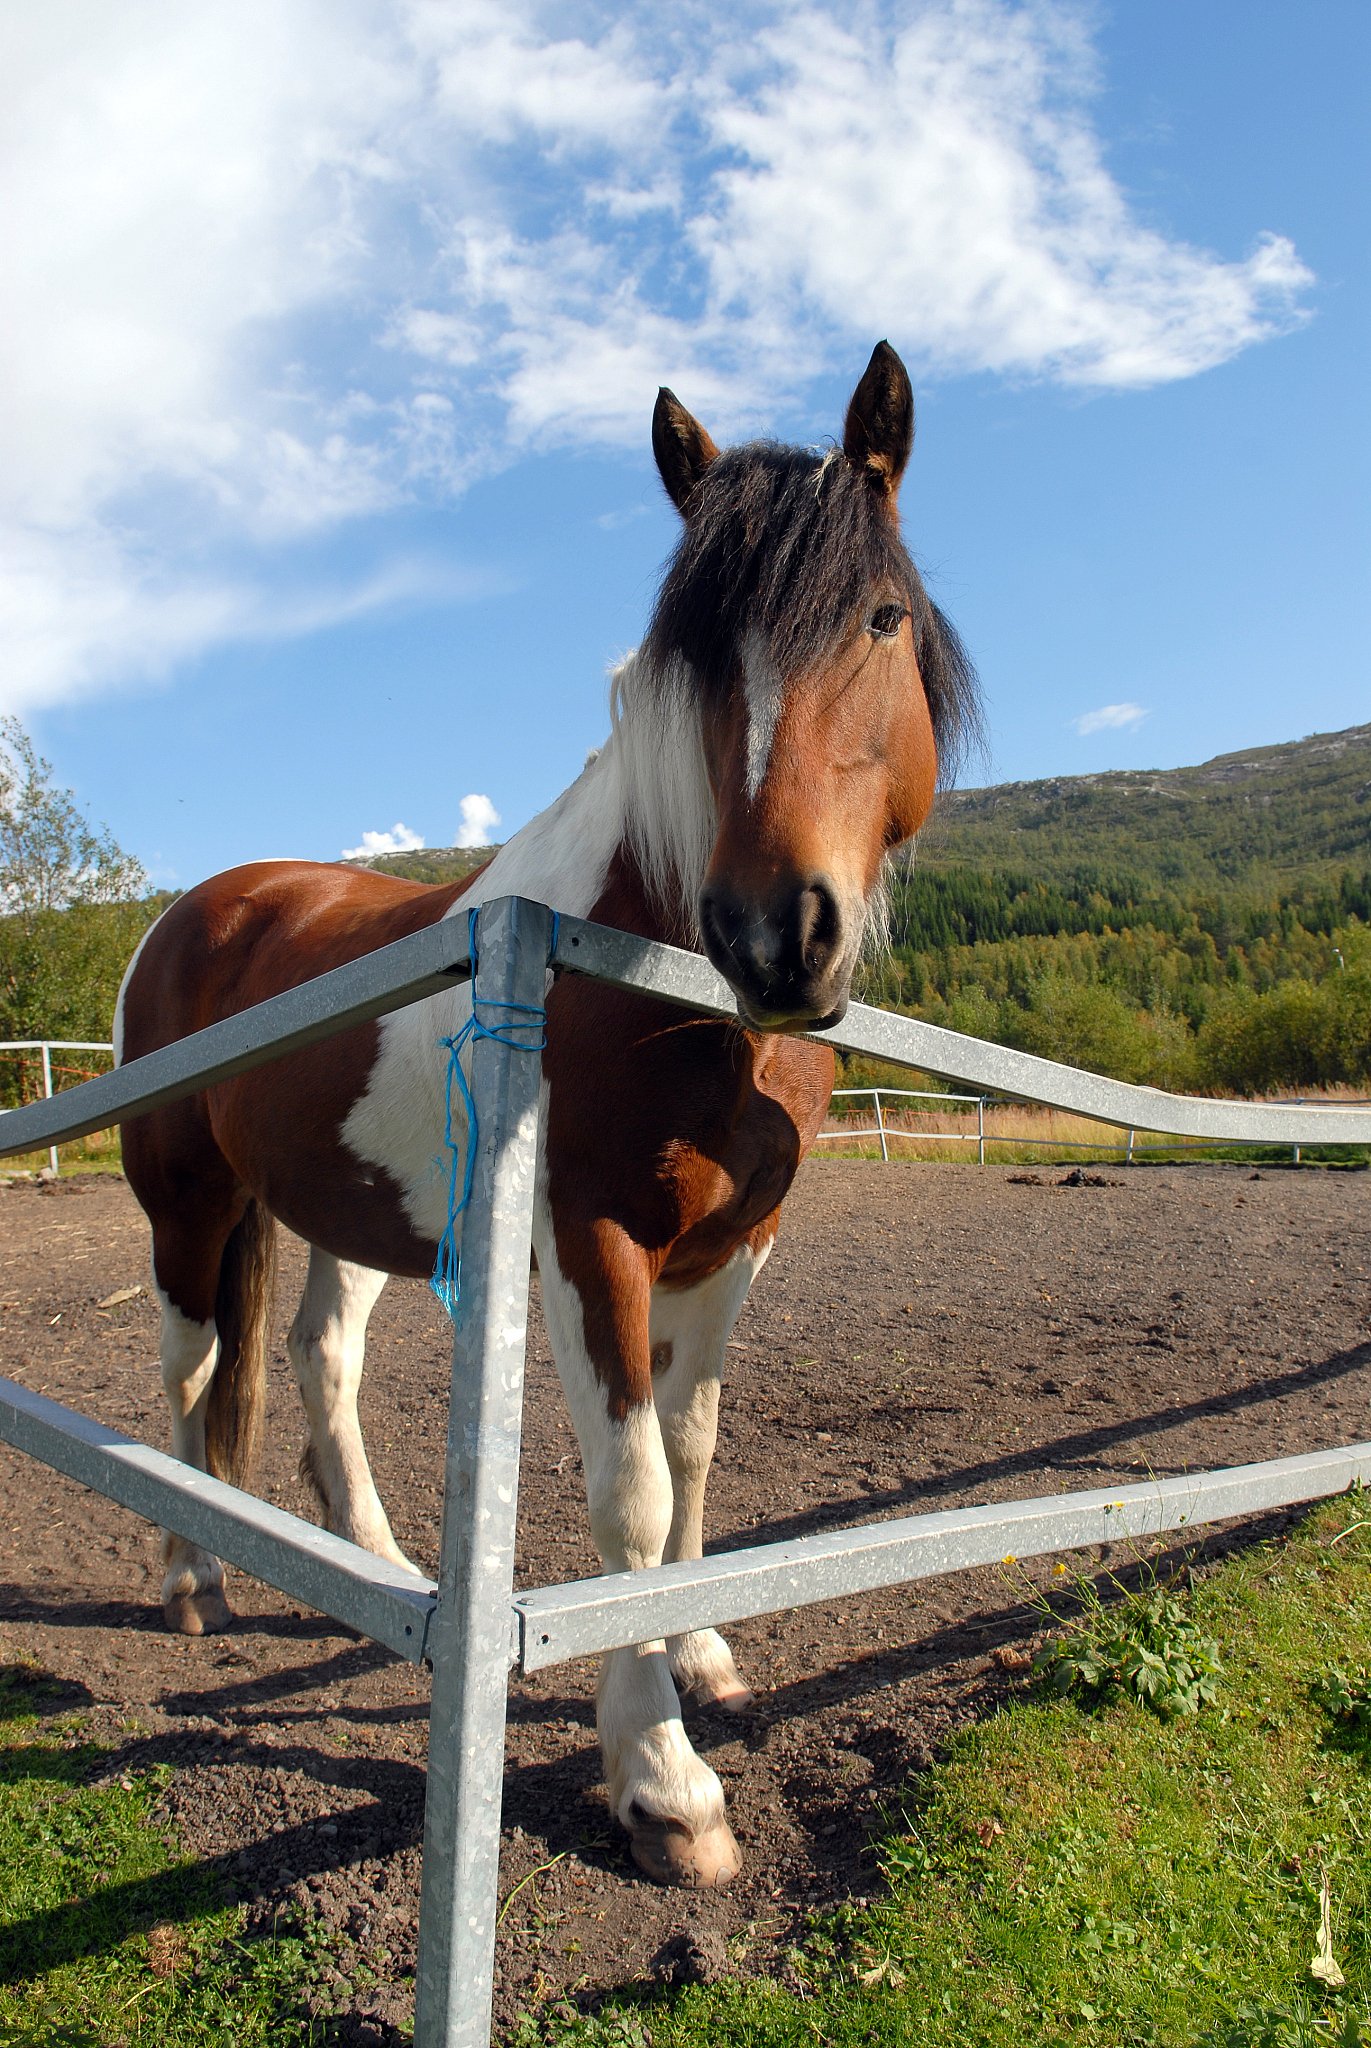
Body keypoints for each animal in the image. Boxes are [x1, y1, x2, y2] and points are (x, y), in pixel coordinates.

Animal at [115, 340, 978, 1889]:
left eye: (881, 617)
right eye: (689, 657)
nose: (776, 934)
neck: (655, 970)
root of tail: (198, 910)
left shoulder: (731, 1250)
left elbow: (692, 1454)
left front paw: (700, 1651)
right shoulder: (592, 1243)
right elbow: (626, 1490)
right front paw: (663, 1782)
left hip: (345, 1213)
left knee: (318, 1360)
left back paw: (382, 1567)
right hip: (185, 1208)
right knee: (191, 1371)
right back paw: (192, 1576)